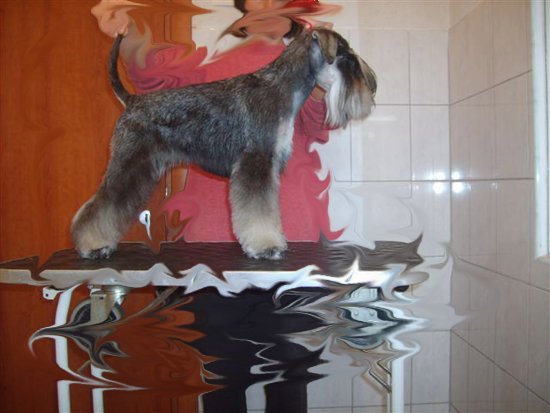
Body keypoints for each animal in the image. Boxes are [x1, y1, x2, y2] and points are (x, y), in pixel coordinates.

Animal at [71, 28, 377, 260]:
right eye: (347, 57)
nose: (372, 87)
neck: (282, 88)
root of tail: (132, 100)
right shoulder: (256, 162)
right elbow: (257, 211)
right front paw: (266, 247)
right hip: (129, 162)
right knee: (101, 204)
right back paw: (92, 246)